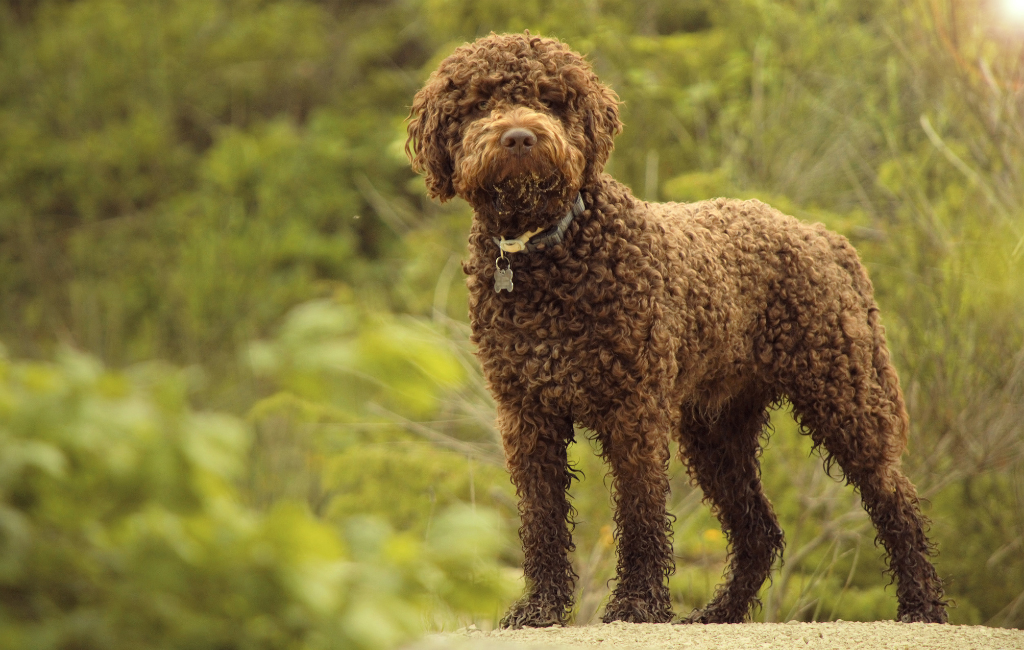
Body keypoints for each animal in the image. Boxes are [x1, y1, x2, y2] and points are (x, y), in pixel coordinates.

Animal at [403, 33, 946, 626]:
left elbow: (640, 513)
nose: (520, 136)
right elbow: (542, 517)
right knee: (759, 531)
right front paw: (541, 606)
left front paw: (637, 603)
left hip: (843, 396)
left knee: (896, 500)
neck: (550, 255)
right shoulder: (527, 414)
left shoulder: (634, 409)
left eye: (552, 100)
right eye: (479, 103)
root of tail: (821, 234)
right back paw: (720, 613)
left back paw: (922, 604)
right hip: (717, 431)